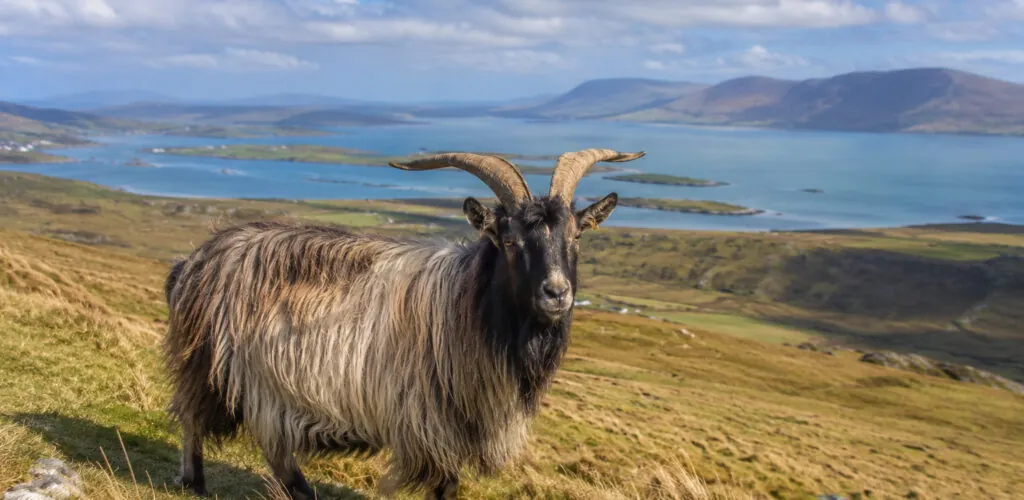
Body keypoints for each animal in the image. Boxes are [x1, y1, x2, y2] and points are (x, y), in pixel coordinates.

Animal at [162, 148, 645, 499]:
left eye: (576, 237)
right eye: (509, 241)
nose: (556, 293)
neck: (466, 303)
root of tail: (196, 259)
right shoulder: (433, 421)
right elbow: (446, 485)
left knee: (271, 443)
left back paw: (298, 491)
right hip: (208, 363)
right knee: (192, 418)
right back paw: (195, 482)